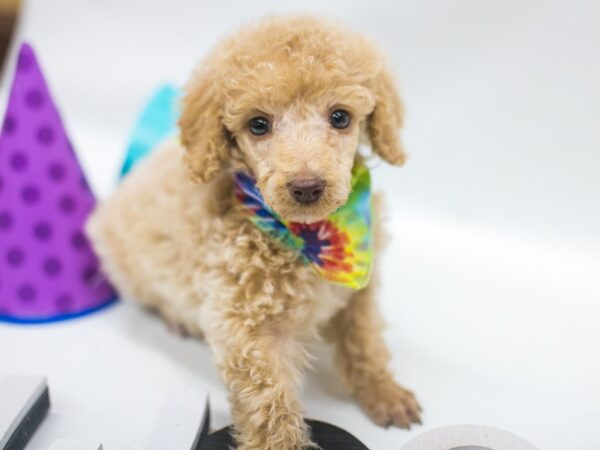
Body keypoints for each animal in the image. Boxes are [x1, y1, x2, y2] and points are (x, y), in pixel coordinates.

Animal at [86, 14, 420, 450]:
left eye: (341, 117)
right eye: (258, 125)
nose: (307, 187)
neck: (310, 236)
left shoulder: (357, 292)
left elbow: (365, 341)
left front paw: (383, 392)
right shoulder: (244, 324)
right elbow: (269, 399)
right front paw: (282, 443)